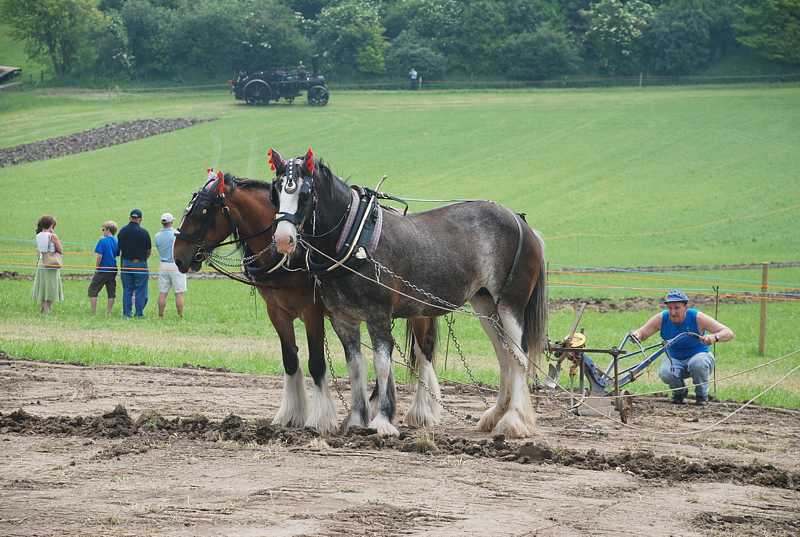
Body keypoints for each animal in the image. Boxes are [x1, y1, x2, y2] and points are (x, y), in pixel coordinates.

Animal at [173, 170, 444, 434]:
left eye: (203, 210)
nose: (178, 257)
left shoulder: (312, 311)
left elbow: (316, 363)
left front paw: (320, 419)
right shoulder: (277, 312)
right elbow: (290, 360)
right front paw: (290, 415)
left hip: (419, 313)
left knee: (423, 353)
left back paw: (422, 411)